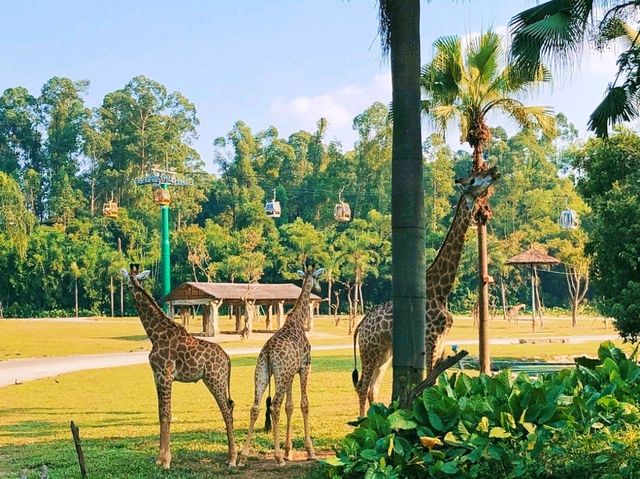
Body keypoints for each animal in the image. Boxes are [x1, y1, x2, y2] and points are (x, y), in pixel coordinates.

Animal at [122, 264, 238, 466]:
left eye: (128, 278)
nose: (128, 286)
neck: (155, 335)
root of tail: (227, 358)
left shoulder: (165, 375)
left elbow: (166, 414)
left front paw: (166, 460)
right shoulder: (156, 376)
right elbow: (161, 413)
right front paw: (160, 458)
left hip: (215, 379)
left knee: (226, 410)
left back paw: (232, 459)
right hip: (214, 380)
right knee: (229, 408)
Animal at [238, 260, 324, 466]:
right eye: (318, 277)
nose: (319, 289)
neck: (298, 320)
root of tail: (268, 352)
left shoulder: (291, 373)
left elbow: (289, 406)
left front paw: (288, 450)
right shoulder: (304, 367)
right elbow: (304, 404)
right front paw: (309, 451)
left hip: (262, 372)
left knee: (255, 407)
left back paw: (243, 457)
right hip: (281, 374)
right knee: (274, 405)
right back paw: (277, 458)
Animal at [350, 167, 500, 418]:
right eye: (472, 179)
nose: (494, 171)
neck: (441, 290)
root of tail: (360, 327)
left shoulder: (442, 341)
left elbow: (437, 381)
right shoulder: (430, 339)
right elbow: (430, 382)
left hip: (384, 352)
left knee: (372, 387)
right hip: (370, 349)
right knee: (362, 385)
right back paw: (361, 421)